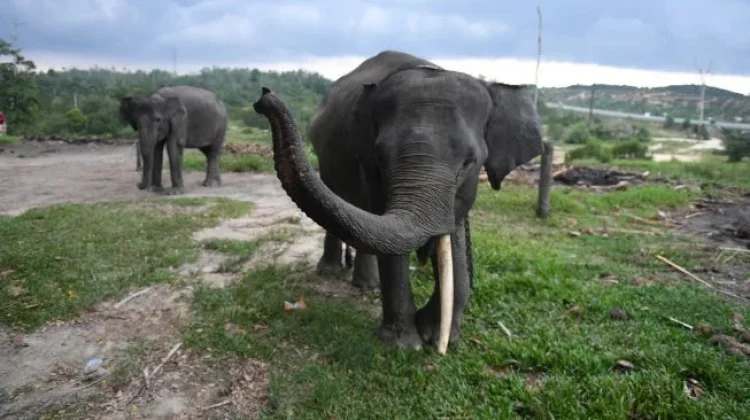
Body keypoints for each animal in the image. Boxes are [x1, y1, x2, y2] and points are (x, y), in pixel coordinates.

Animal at [252, 50, 543, 353]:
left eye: (469, 162)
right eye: (380, 155)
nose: (263, 96)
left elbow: (455, 236)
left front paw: (439, 337)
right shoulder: (369, 162)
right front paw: (405, 345)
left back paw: (368, 286)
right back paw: (332, 274)